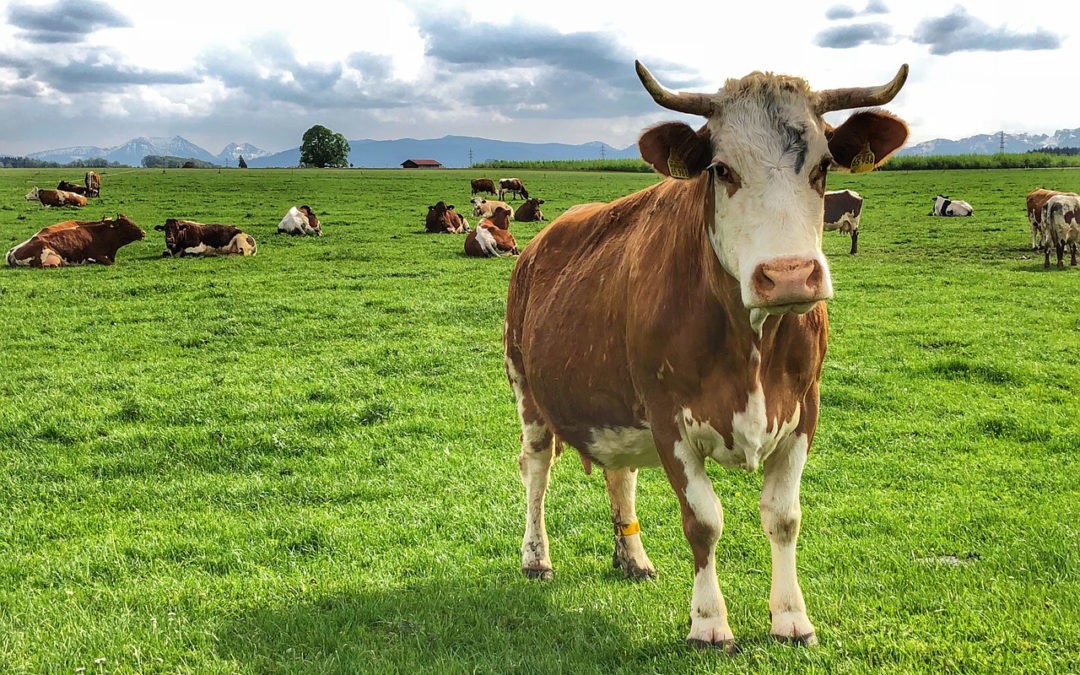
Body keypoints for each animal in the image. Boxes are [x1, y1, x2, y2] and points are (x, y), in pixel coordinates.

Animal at [4, 216, 145, 268]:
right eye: (126, 224)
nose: (143, 232)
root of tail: (12, 252)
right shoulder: (94, 255)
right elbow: (109, 263)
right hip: (50, 258)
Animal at [501, 60, 907, 652]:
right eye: (720, 168)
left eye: (823, 166)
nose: (788, 275)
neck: (752, 343)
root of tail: (540, 240)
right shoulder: (669, 417)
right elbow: (704, 522)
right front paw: (709, 623)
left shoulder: (804, 411)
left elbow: (784, 517)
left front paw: (791, 617)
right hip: (526, 386)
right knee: (535, 468)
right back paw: (536, 559)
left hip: (614, 403)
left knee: (620, 474)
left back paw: (633, 556)